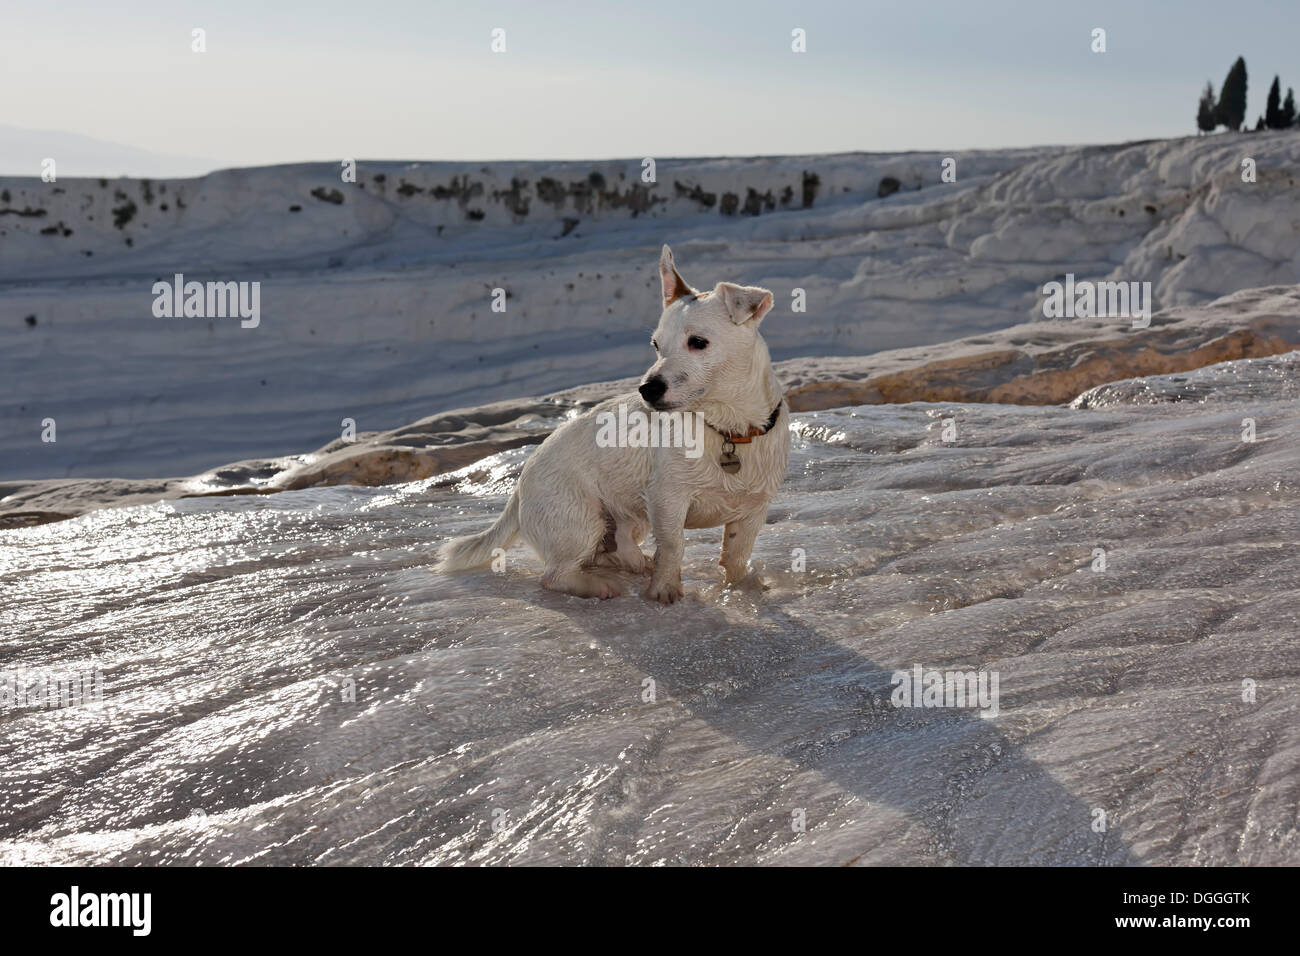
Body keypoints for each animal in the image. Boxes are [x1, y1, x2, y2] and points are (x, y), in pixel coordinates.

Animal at [436, 247, 785, 606]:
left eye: (698, 342)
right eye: (656, 345)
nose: (647, 389)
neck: (728, 429)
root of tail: (518, 490)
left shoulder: (753, 511)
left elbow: (736, 555)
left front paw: (741, 587)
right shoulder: (668, 500)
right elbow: (673, 547)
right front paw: (664, 590)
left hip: (632, 517)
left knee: (616, 549)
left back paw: (636, 564)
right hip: (583, 521)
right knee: (555, 576)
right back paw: (598, 586)